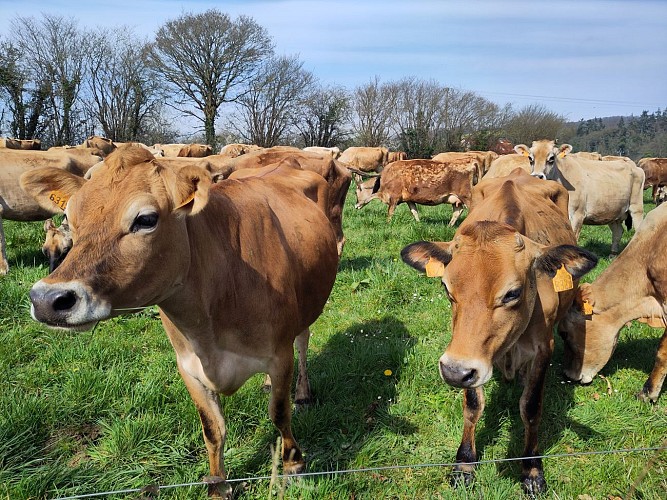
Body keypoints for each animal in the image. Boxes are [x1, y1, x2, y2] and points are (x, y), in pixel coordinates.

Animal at [21, 145, 339, 497]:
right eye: (70, 218)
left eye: (145, 219)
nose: (47, 299)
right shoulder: (188, 366)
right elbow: (212, 429)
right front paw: (217, 484)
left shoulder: (279, 355)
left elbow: (279, 413)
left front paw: (293, 463)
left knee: (303, 342)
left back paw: (303, 392)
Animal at [401, 169, 598, 494]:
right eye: (446, 288)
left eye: (512, 293)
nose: (453, 372)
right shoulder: (466, 352)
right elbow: (472, 404)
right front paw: (464, 463)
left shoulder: (543, 348)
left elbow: (531, 407)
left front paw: (531, 469)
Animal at [515, 140, 645, 255]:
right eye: (530, 158)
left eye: (551, 158)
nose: (537, 176)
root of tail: (634, 166)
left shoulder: (577, 214)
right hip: (613, 212)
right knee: (618, 231)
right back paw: (613, 254)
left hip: (636, 207)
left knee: (638, 229)